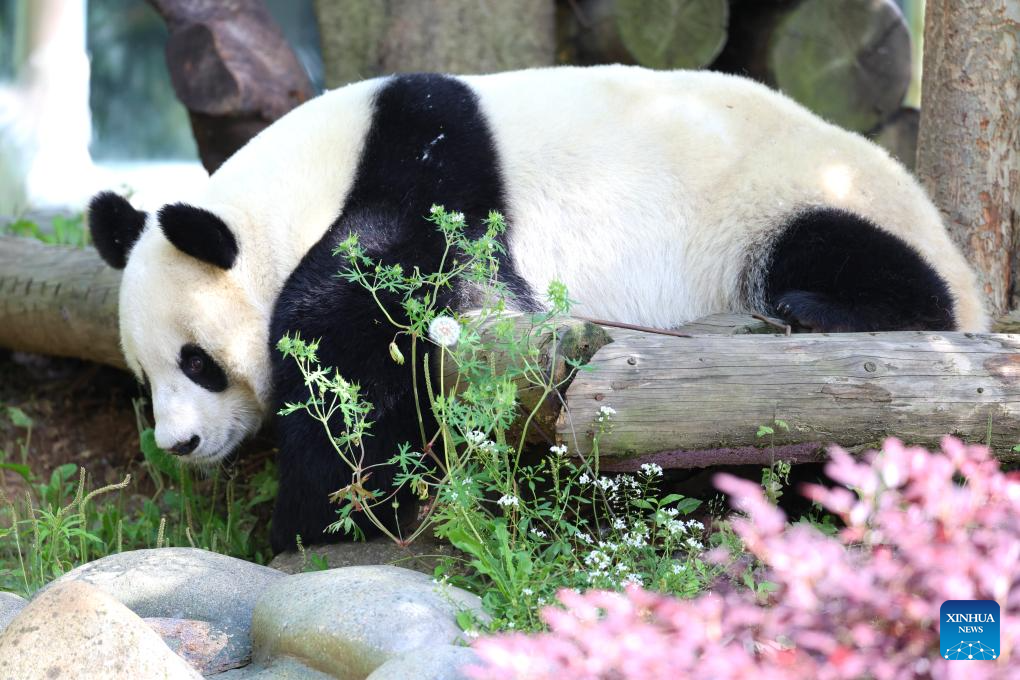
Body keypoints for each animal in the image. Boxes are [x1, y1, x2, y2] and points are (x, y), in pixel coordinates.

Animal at [85, 65, 987, 554]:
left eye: (198, 361)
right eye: (145, 377)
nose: (180, 444)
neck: (305, 180)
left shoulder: (427, 175)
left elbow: (360, 328)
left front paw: (317, 519)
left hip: (777, 201)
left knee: (867, 266)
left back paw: (818, 308)